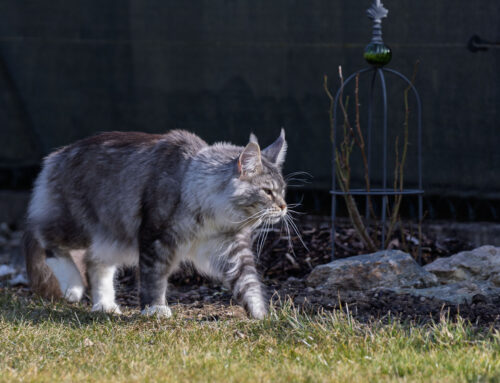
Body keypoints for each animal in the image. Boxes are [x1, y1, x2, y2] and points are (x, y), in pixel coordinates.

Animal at [23, 130, 288, 320]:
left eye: (283, 191)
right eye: (267, 192)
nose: (285, 207)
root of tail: (56, 156)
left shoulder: (231, 246)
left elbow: (248, 284)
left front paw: (261, 317)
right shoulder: (156, 238)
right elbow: (155, 277)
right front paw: (154, 309)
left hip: (108, 237)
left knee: (94, 263)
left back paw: (105, 305)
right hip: (76, 225)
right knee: (45, 238)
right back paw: (74, 287)